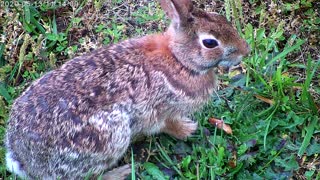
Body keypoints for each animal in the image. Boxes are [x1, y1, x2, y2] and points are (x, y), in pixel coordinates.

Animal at [5, 0, 250, 178]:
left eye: (220, 17)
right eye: (210, 43)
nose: (245, 50)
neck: (179, 59)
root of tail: (23, 158)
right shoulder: (160, 110)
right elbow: (166, 125)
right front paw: (188, 129)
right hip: (109, 139)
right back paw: (121, 172)